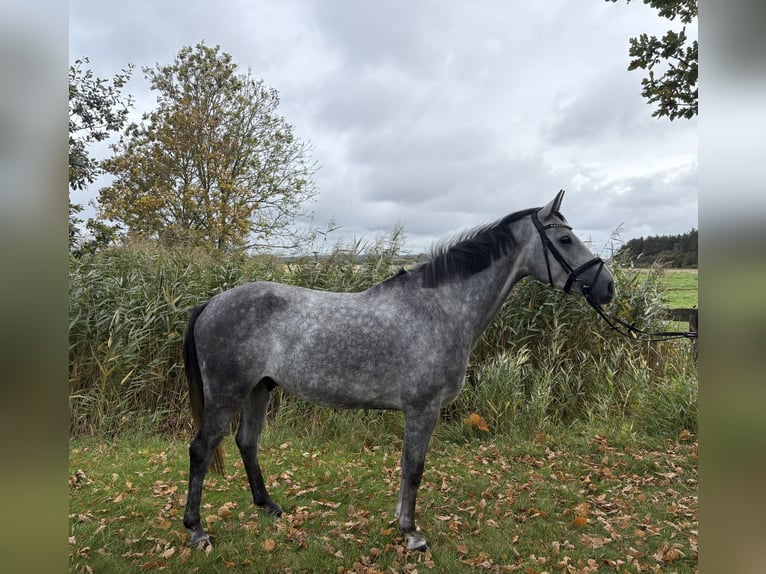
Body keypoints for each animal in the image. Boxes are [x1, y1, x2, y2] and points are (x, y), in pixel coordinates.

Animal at [182, 189, 614, 552]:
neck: (440, 309)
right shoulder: (423, 408)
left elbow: (408, 466)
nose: (608, 286)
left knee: (247, 442)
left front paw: (401, 522)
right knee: (202, 449)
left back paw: (268, 505)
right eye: (565, 240)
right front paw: (411, 533)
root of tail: (211, 304)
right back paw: (197, 530)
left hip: (259, 388)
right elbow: (414, 467)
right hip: (228, 393)